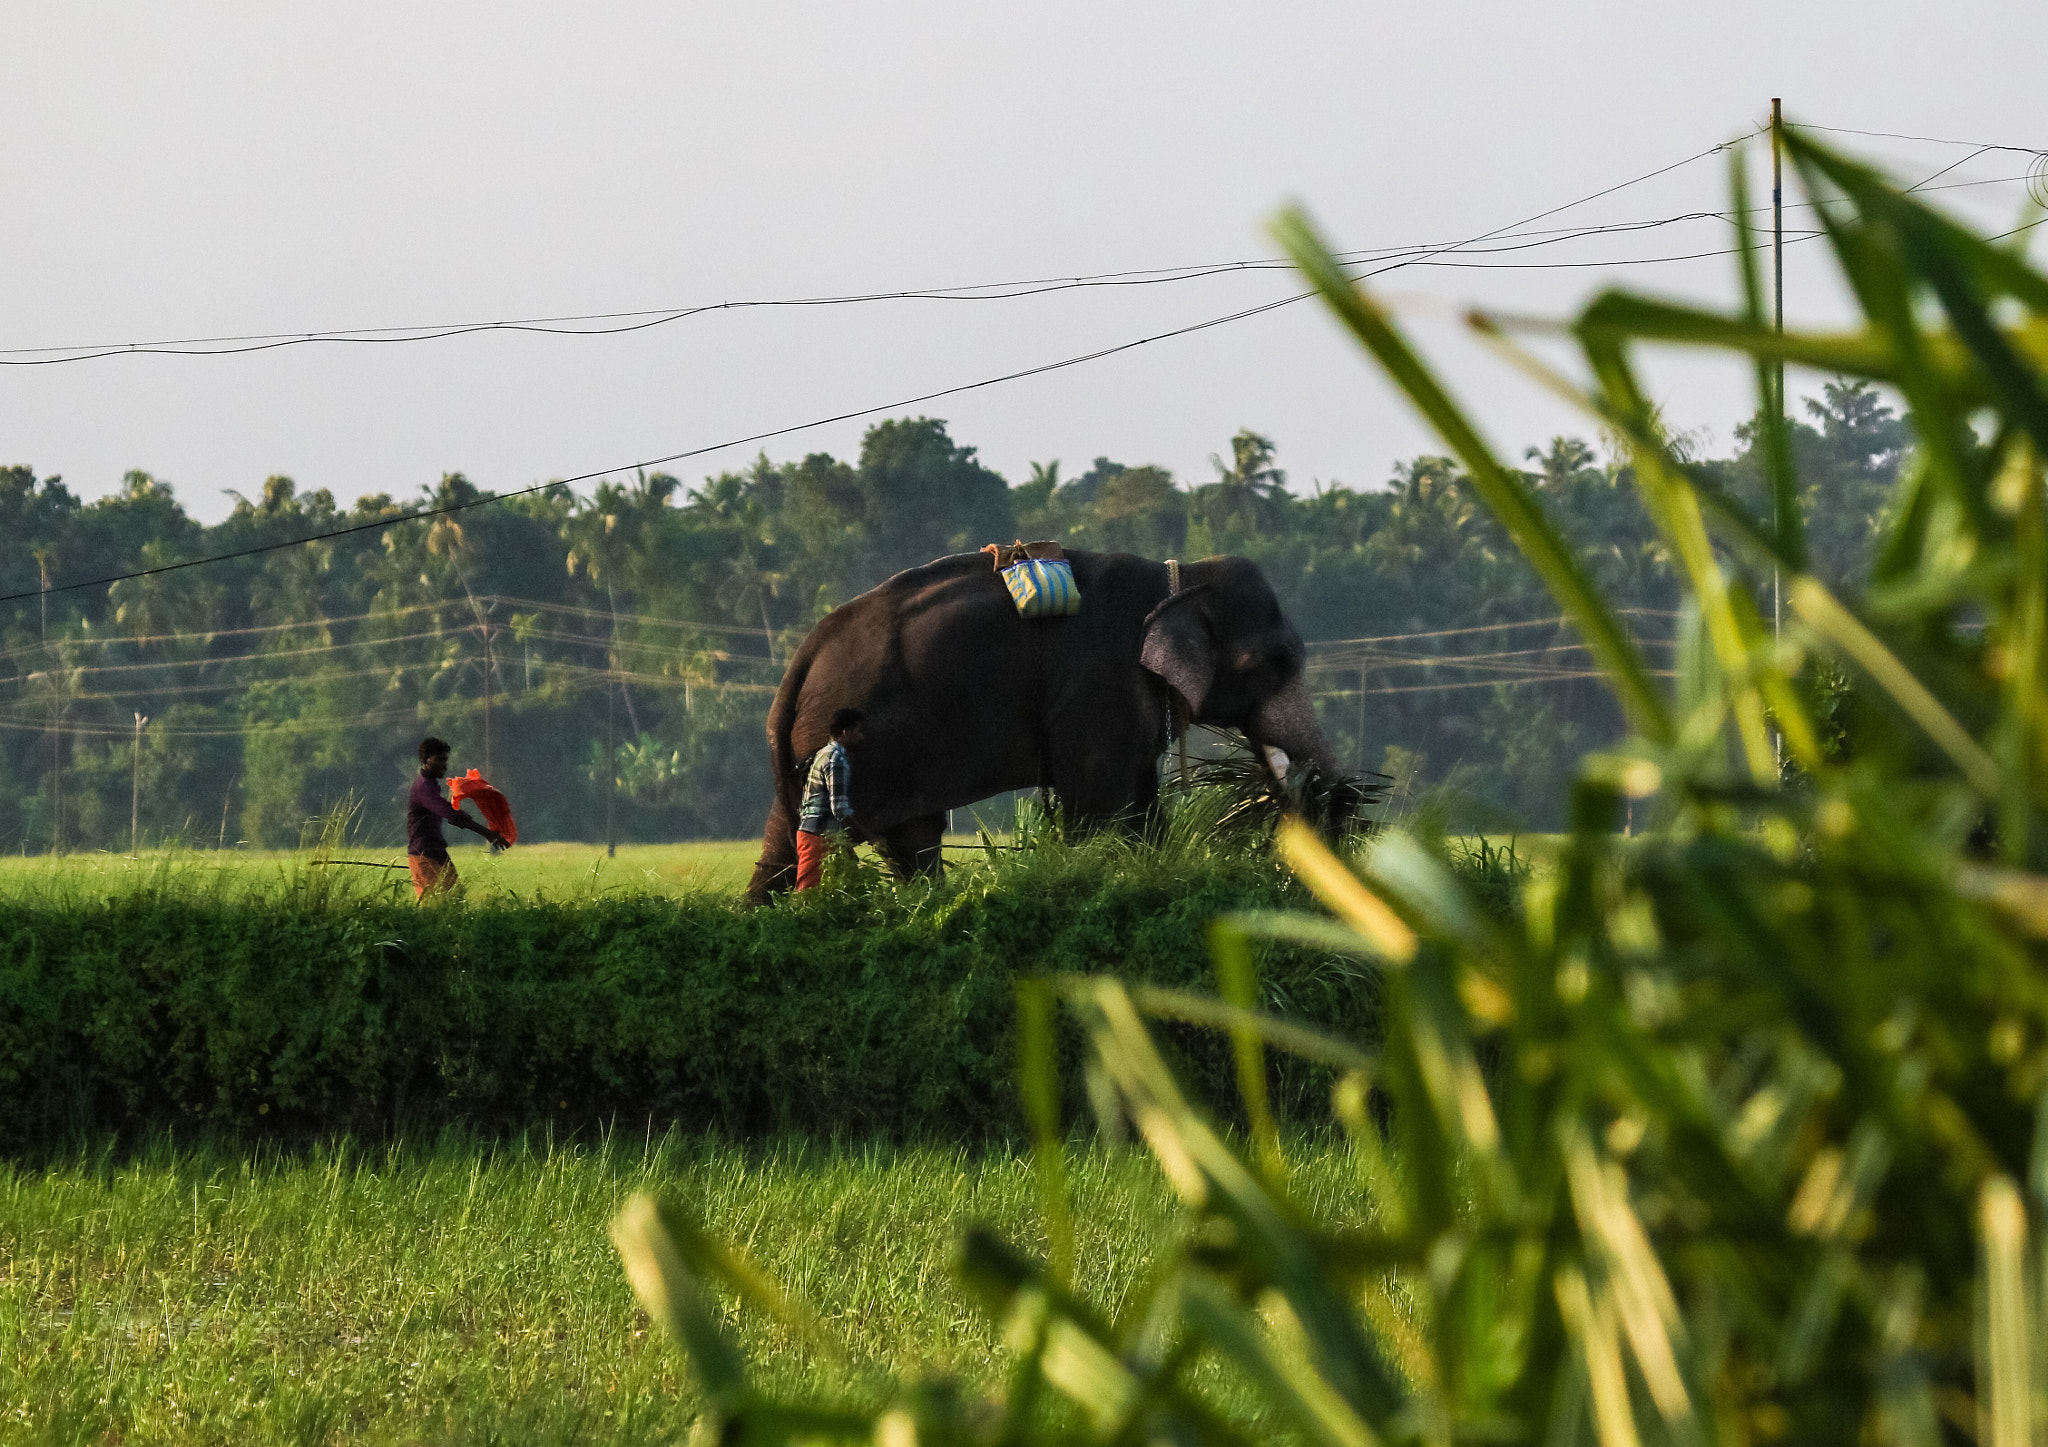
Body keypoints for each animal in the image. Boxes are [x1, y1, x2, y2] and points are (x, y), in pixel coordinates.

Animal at [745, 548, 1335, 900]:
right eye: (1278, 661)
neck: (1178, 578)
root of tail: (802, 659)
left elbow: (1140, 797)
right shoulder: (1100, 683)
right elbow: (1100, 801)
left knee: (799, 838)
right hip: (874, 747)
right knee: (904, 838)